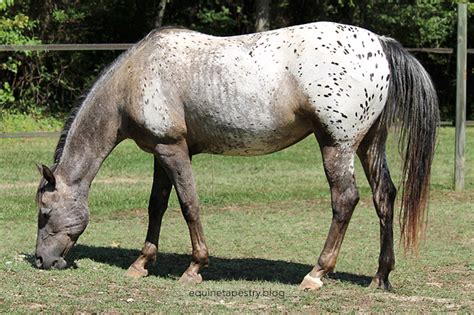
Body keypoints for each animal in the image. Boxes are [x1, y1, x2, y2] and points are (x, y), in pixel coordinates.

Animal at [35, 22, 438, 292]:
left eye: (44, 212)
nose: (41, 260)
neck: (134, 76)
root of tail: (381, 44)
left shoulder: (173, 149)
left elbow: (189, 205)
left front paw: (195, 268)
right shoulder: (160, 152)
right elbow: (157, 206)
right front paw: (141, 263)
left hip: (336, 145)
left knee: (345, 200)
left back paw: (316, 274)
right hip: (369, 144)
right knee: (384, 197)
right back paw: (381, 276)